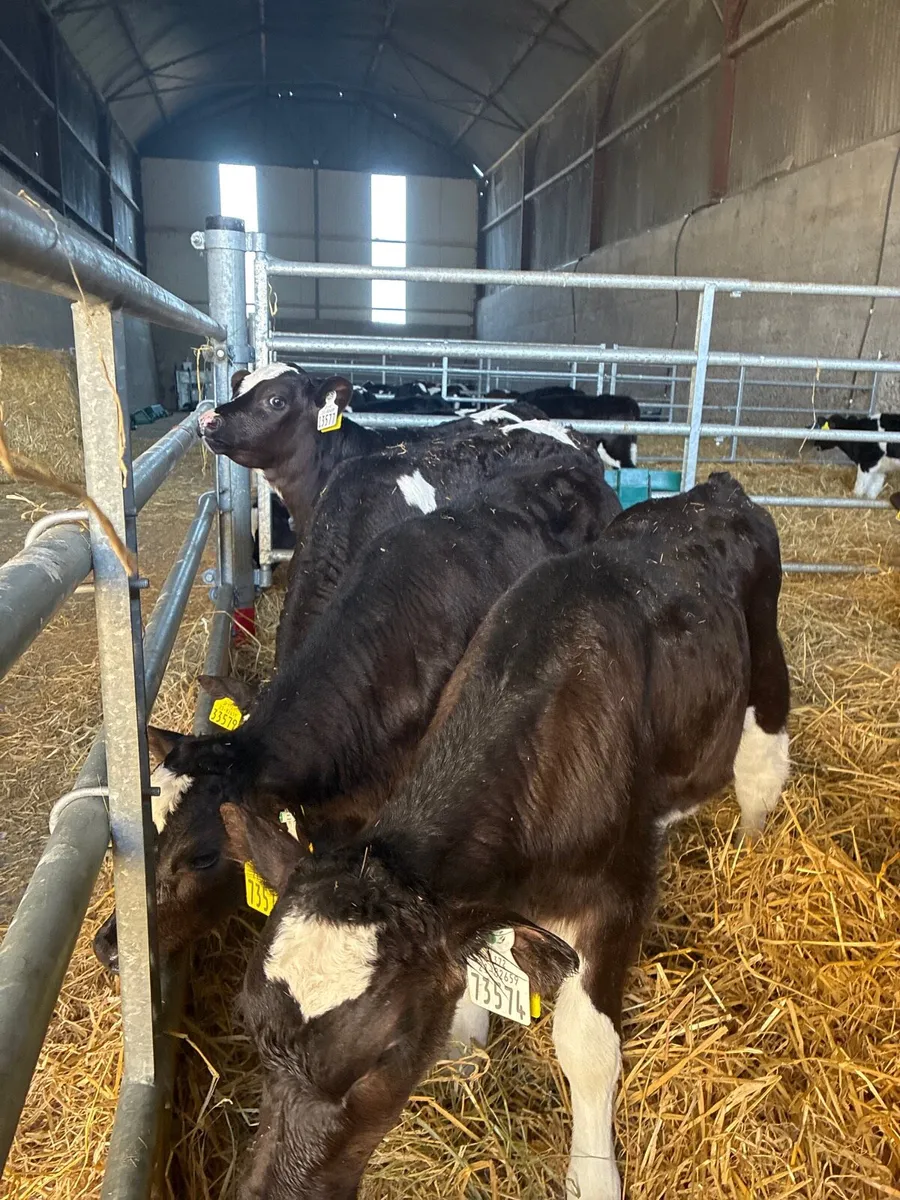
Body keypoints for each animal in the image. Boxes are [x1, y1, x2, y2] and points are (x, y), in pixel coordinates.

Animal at [229, 473, 790, 1200]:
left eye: (382, 1055)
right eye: (251, 1026)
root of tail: (711, 491)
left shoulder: (620, 894)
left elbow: (587, 1047)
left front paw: (594, 1176)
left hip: (766, 676)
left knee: (760, 774)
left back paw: (753, 855)